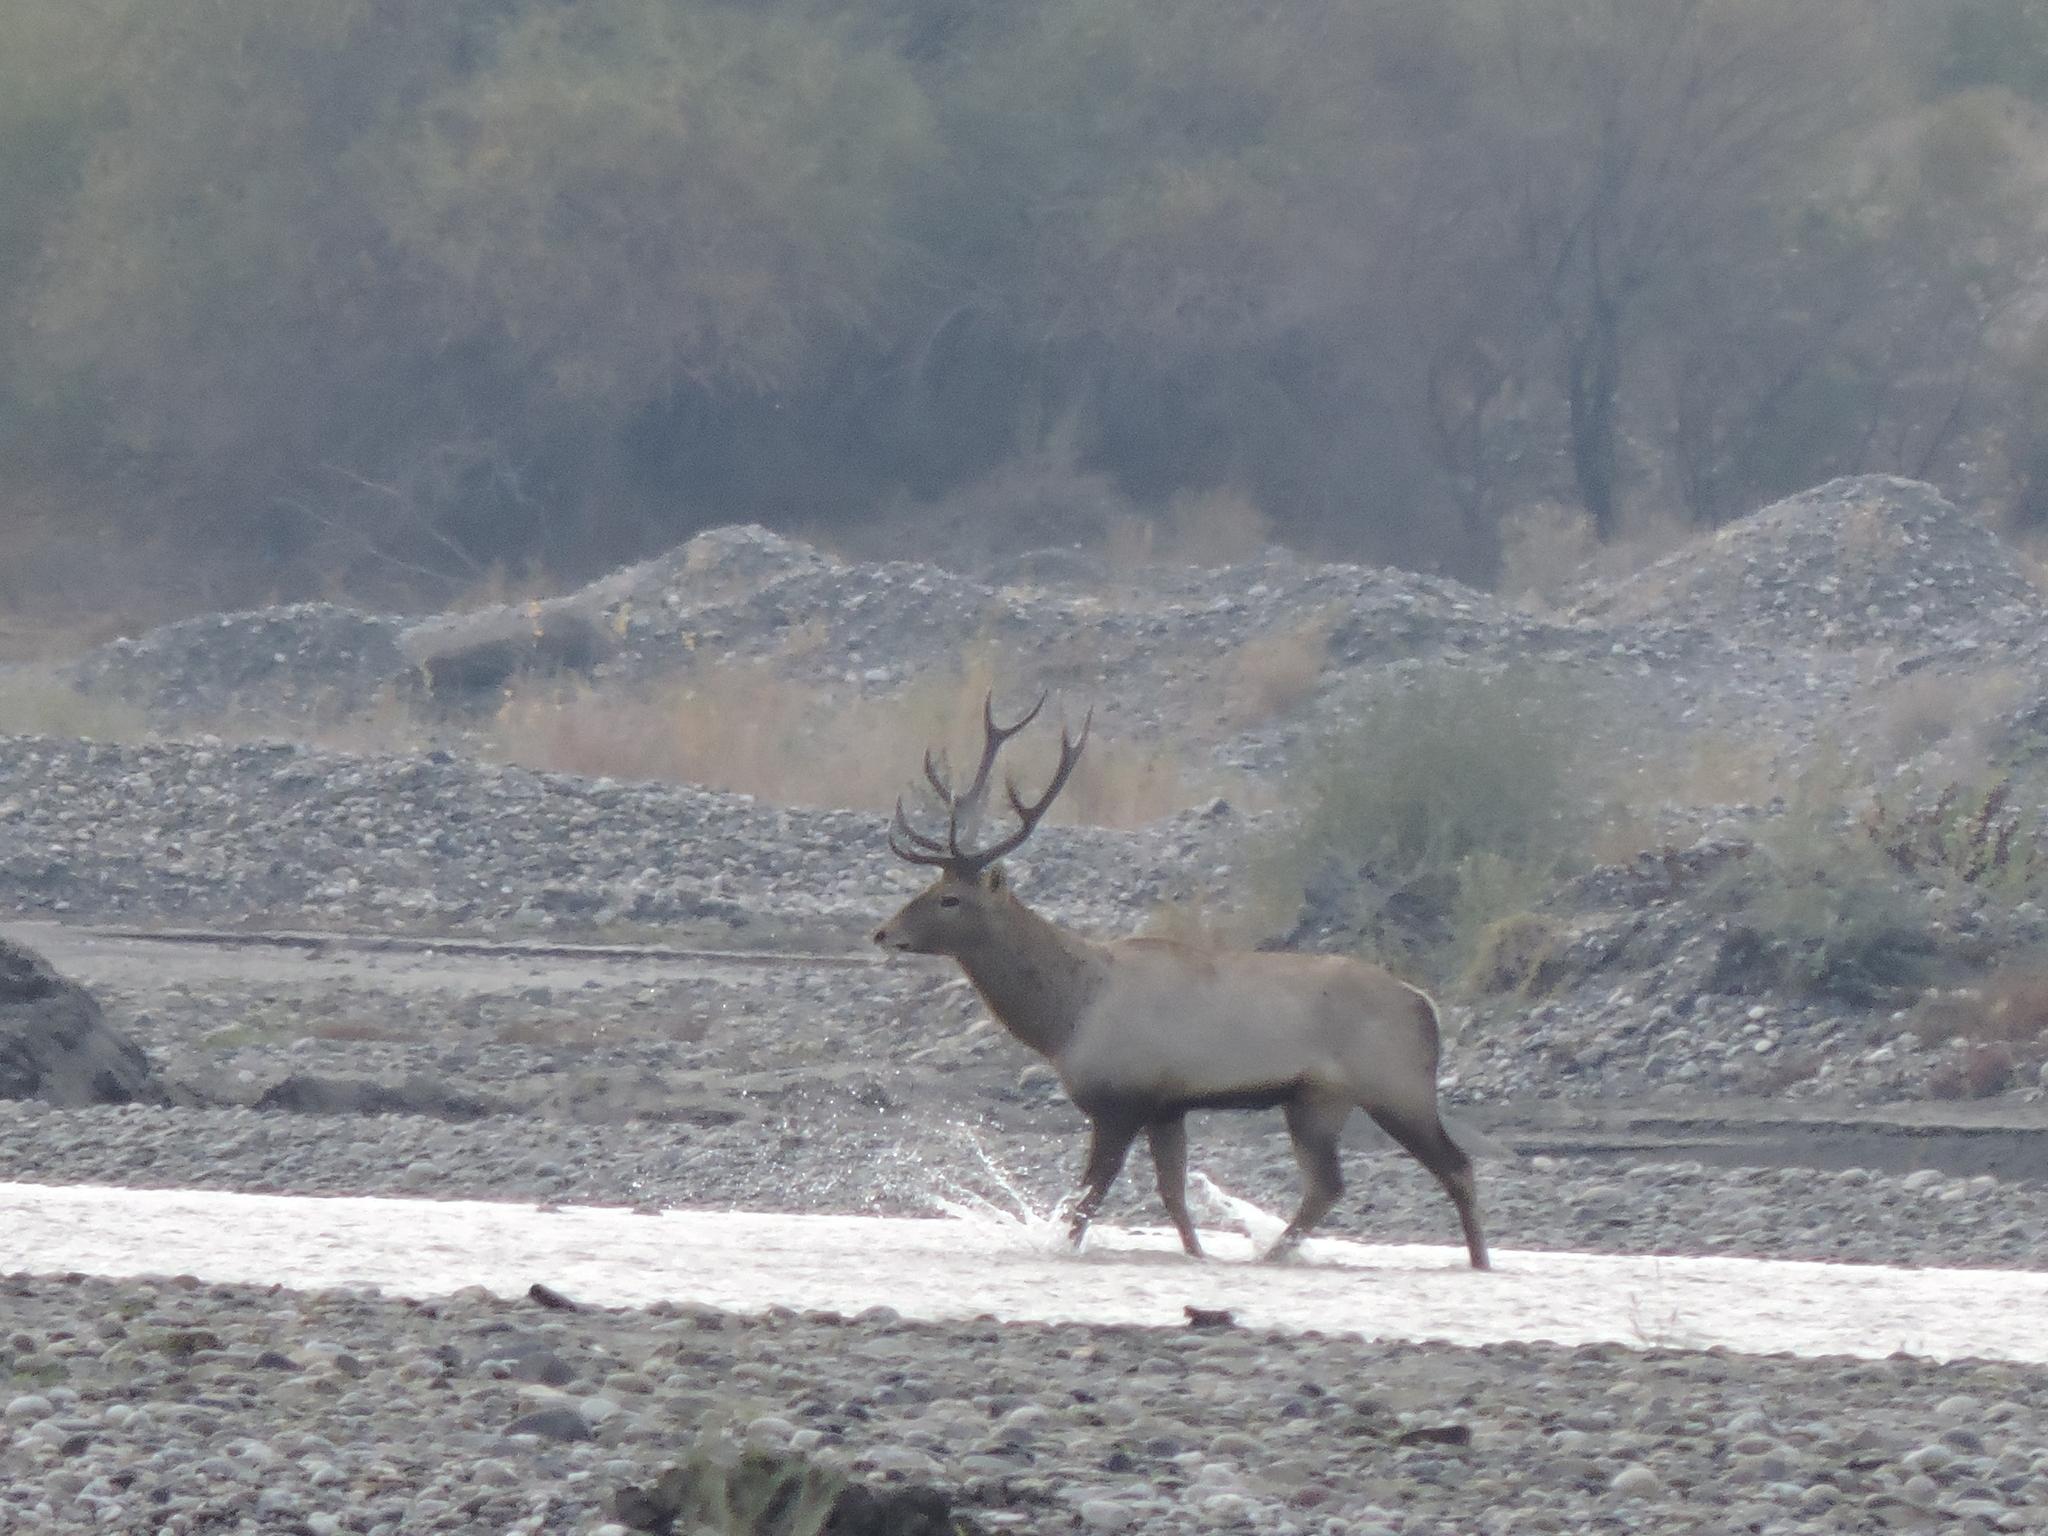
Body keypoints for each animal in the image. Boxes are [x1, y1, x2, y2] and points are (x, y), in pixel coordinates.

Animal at [873, 695, 1491, 1269]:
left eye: (951, 899)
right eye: (928, 888)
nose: (884, 932)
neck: (1065, 1019)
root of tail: (1428, 1006)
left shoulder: (1120, 1100)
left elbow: (1084, 1205)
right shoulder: (1167, 1105)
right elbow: (1173, 1196)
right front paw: (1197, 1256)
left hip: (1395, 1085)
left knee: (1454, 1166)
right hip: (1317, 1098)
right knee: (1329, 1186)